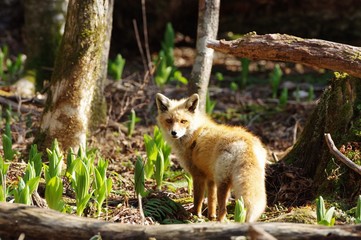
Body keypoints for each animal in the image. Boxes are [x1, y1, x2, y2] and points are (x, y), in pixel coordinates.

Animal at [155, 93, 268, 222]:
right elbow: (211, 201)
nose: (174, 133)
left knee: (223, 209)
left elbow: (198, 199)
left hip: (222, 182)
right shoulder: (210, 178)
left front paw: (196, 215)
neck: (194, 134)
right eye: (169, 120)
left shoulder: (198, 175)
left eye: (183, 121)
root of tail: (245, 143)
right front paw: (210, 216)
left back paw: (220, 221)